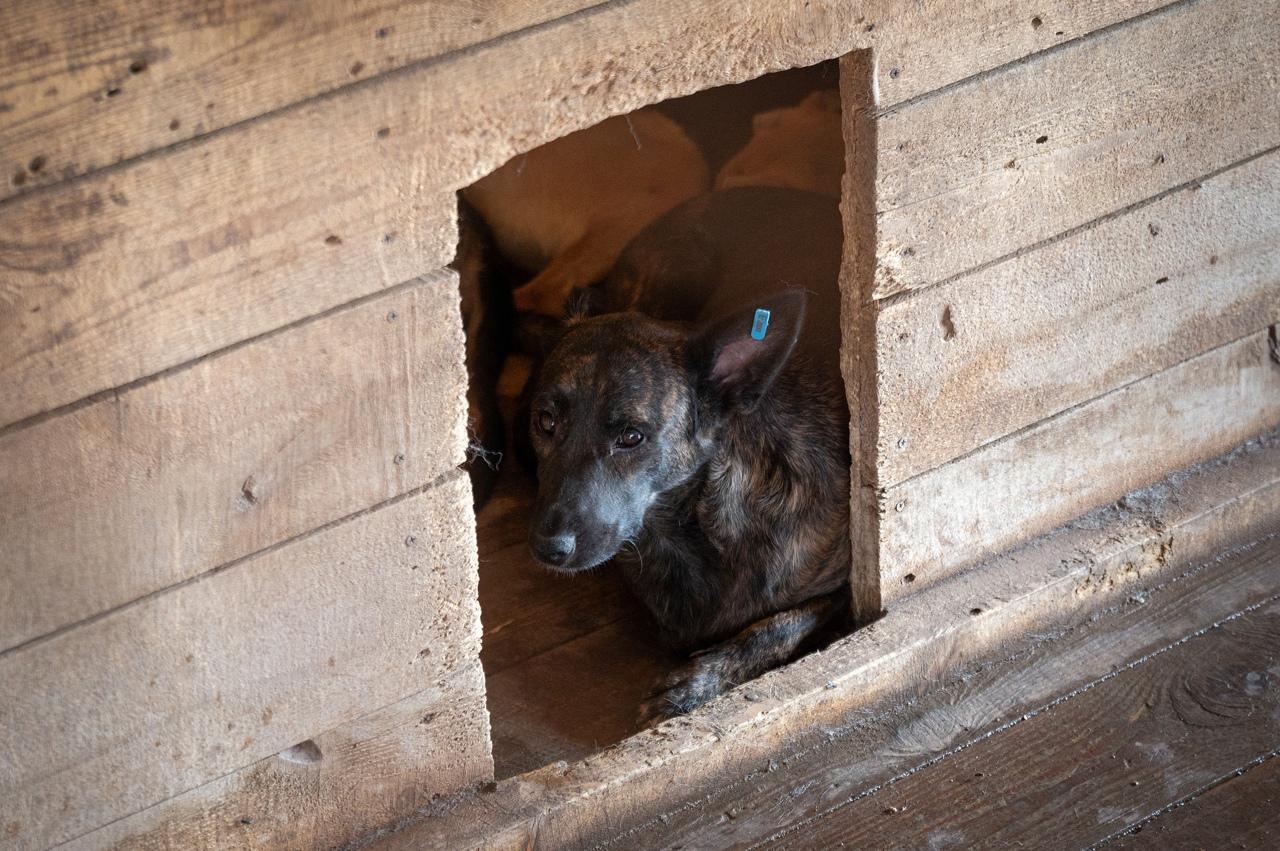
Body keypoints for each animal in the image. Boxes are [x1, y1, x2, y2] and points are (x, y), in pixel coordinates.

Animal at [519, 188, 849, 721]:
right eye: (546, 422)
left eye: (632, 437)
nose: (549, 549)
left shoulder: (847, 584)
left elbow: (779, 626)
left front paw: (695, 683)